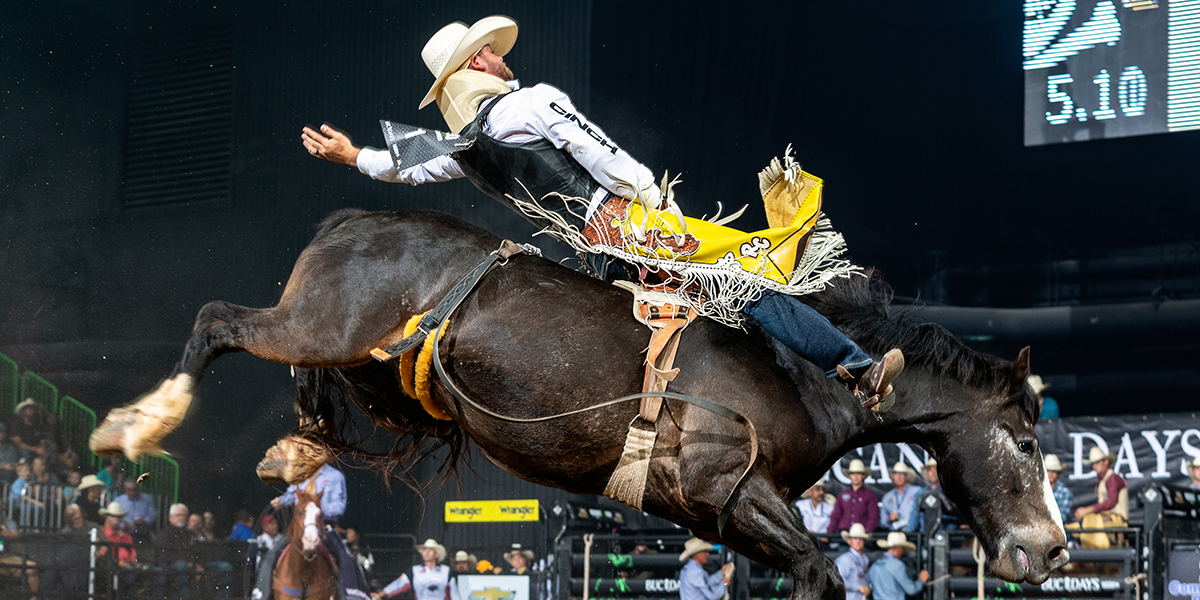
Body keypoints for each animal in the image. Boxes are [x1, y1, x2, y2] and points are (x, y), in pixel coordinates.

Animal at [91, 207, 1070, 600]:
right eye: (1025, 442)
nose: (1054, 550)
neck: (804, 372)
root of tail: (350, 223)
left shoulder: (722, 513)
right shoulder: (727, 486)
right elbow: (819, 571)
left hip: (363, 360)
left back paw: (294, 448)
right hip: (314, 323)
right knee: (219, 320)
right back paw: (138, 422)